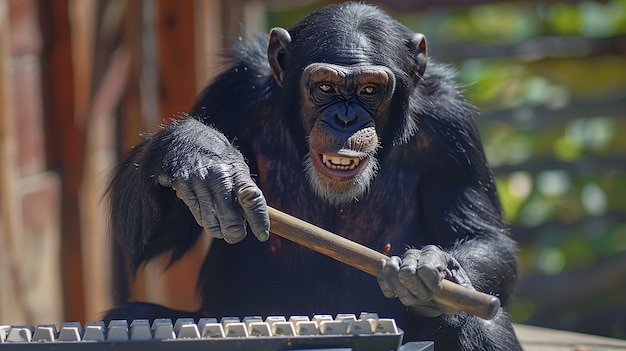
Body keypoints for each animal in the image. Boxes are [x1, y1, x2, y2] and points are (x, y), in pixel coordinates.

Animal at [105, 2, 520, 351]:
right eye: (325, 87)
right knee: (129, 315)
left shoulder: (452, 129)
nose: (346, 118)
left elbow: (481, 234)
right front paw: (198, 152)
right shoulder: (233, 90)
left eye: (370, 90)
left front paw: (430, 268)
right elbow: (152, 239)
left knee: (478, 324)